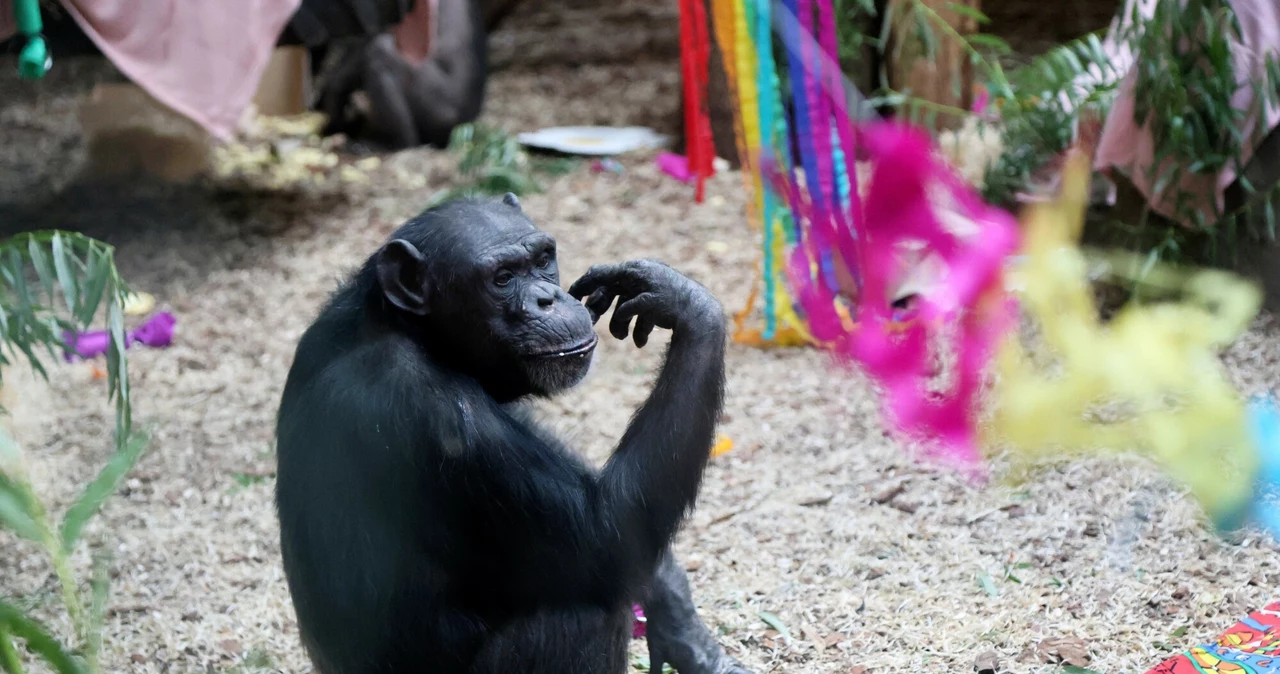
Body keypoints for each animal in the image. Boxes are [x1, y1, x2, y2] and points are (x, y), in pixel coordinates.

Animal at [275, 191, 747, 674]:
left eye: (542, 261)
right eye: (502, 278)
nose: (547, 298)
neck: (413, 332)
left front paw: (680, 622)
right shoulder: (425, 407)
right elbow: (606, 534)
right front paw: (684, 301)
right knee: (582, 613)